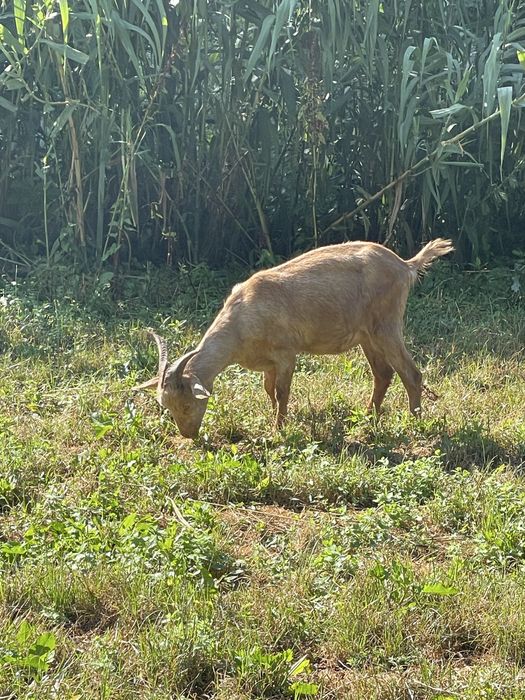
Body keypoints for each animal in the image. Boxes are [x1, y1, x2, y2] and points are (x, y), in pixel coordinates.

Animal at [134, 239, 453, 438]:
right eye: (167, 407)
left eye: (187, 405)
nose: (188, 434)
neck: (242, 317)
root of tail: (405, 265)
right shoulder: (268, 364)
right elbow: (268, 390)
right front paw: (277, 418)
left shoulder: (286, 354)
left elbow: (281, 391)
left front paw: (279, 429)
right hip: (367, 336)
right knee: (383, 373)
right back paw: (368, 418)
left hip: (386, 326)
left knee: (411, 373)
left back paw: (414, 423)